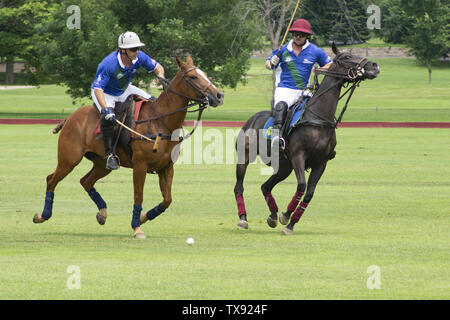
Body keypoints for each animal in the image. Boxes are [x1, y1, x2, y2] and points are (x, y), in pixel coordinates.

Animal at [34, 56, 224, 239]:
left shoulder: (166, 167)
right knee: (51, 179)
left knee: (85, 181)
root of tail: (69, 118)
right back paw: (42, 215)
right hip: (69, 159)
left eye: (205, 73)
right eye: (193, 77)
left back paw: (102, 213)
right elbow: (138, 196)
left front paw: (143, 217)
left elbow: (167, 200)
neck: (161, 121)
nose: (219, 95)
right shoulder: (140, 165)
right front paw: (137, 228)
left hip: (102, 164)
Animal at [236, 43, 380, 235]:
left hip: (284, 167)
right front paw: (285, 215)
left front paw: (290, 224)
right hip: (245, 156)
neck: (319, 118)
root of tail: (251, 119)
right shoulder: (299, 156)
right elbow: (302, 186)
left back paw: (272, 216)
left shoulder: (321, 162)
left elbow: (309, 193)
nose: (374, 66)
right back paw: (243, 219)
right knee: (239, 186)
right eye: (347, 57)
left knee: (265, 186)